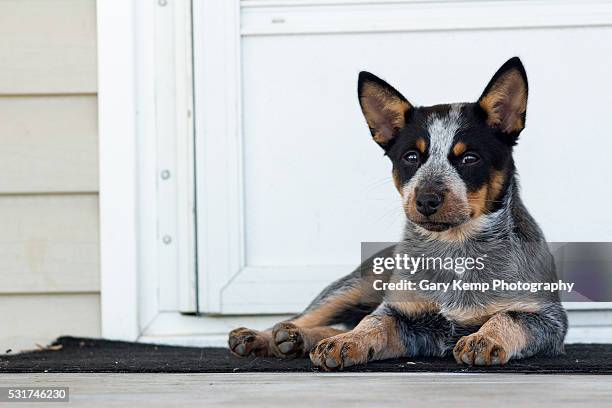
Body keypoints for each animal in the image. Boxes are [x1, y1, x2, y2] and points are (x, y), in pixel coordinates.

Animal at [227, 56, 568, 370]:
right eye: (411, 156)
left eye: (470, 158)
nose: (427, 200)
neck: (454, 252)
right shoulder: (402, 315)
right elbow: (373, 322)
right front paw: (346, 342)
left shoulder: (549, 321)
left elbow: (510, 317)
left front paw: (484, 338)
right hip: (354, 285)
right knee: (314, 315)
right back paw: (267, 336)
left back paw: (294, 339)